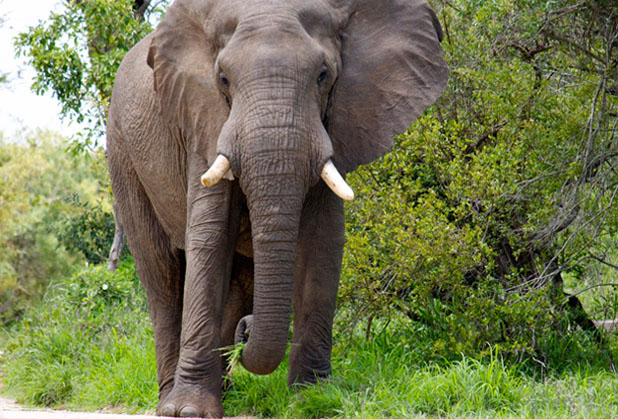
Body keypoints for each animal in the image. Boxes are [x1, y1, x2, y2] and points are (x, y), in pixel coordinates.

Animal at [104, 0, 442, 416]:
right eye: (223, 79)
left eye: (323, 75)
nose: (248, 330)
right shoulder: (201, 120)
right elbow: (211, 237)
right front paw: (189, 412)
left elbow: (322, 242)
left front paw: (313, 399)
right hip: (122, 153)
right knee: (161, 273)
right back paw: (171, 400)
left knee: (240, 282)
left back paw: (225, 389)